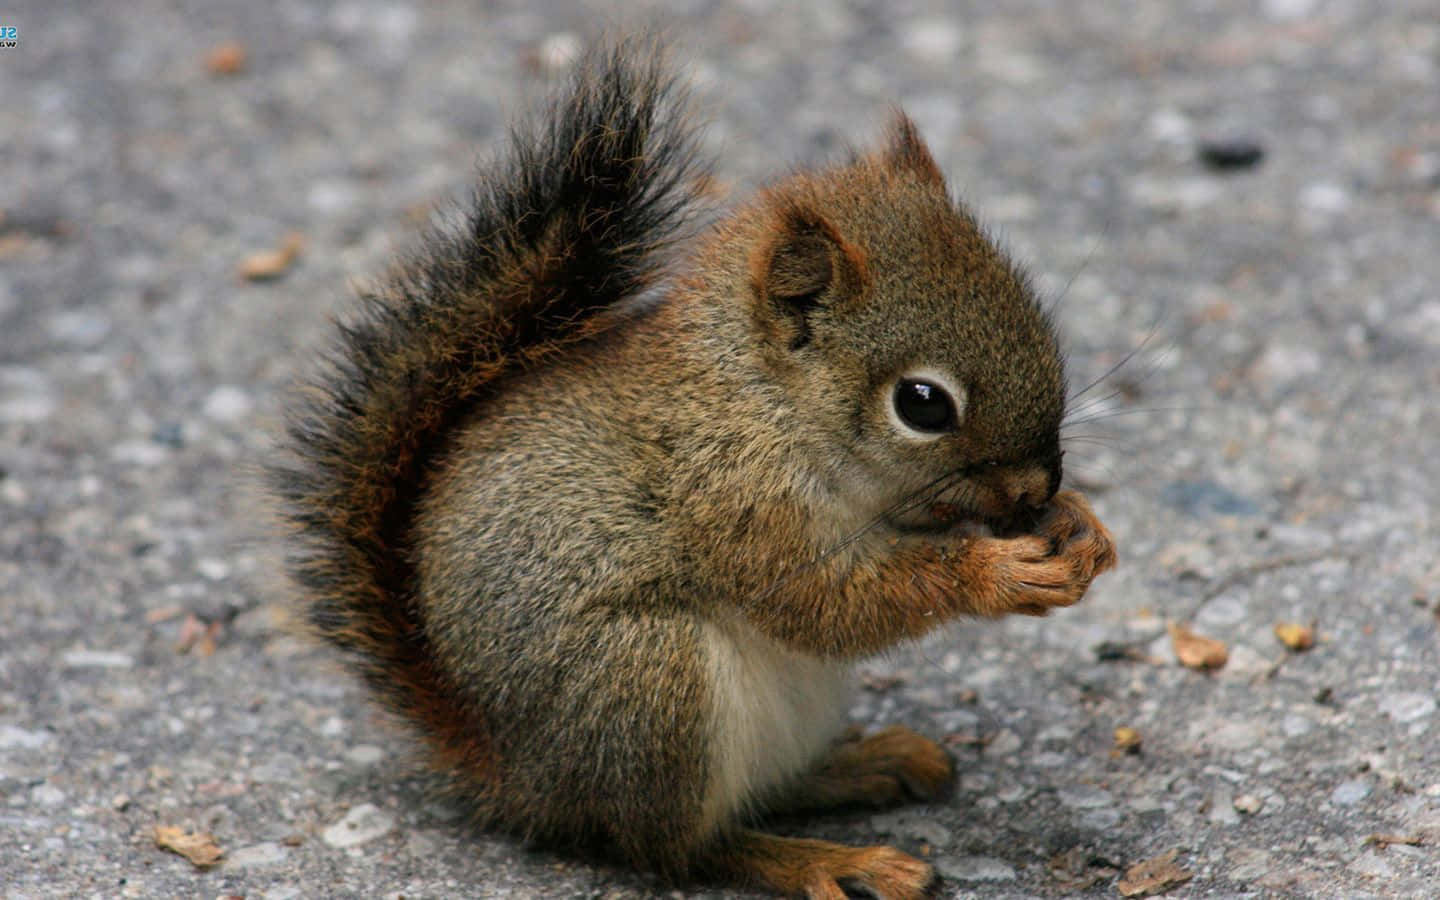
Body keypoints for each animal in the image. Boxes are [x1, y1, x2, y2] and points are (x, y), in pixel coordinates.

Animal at [271, 40, 1117, 900]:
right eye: (923, 404)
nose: (1036, 488)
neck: (763, 399)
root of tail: (520, 777)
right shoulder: (735, 500)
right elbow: (826, 604)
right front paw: (998, 573)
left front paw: (1082, 528)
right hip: (650, 685)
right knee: (679, 848)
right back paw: (823, 860)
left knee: (764, 792)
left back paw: (865, 764)